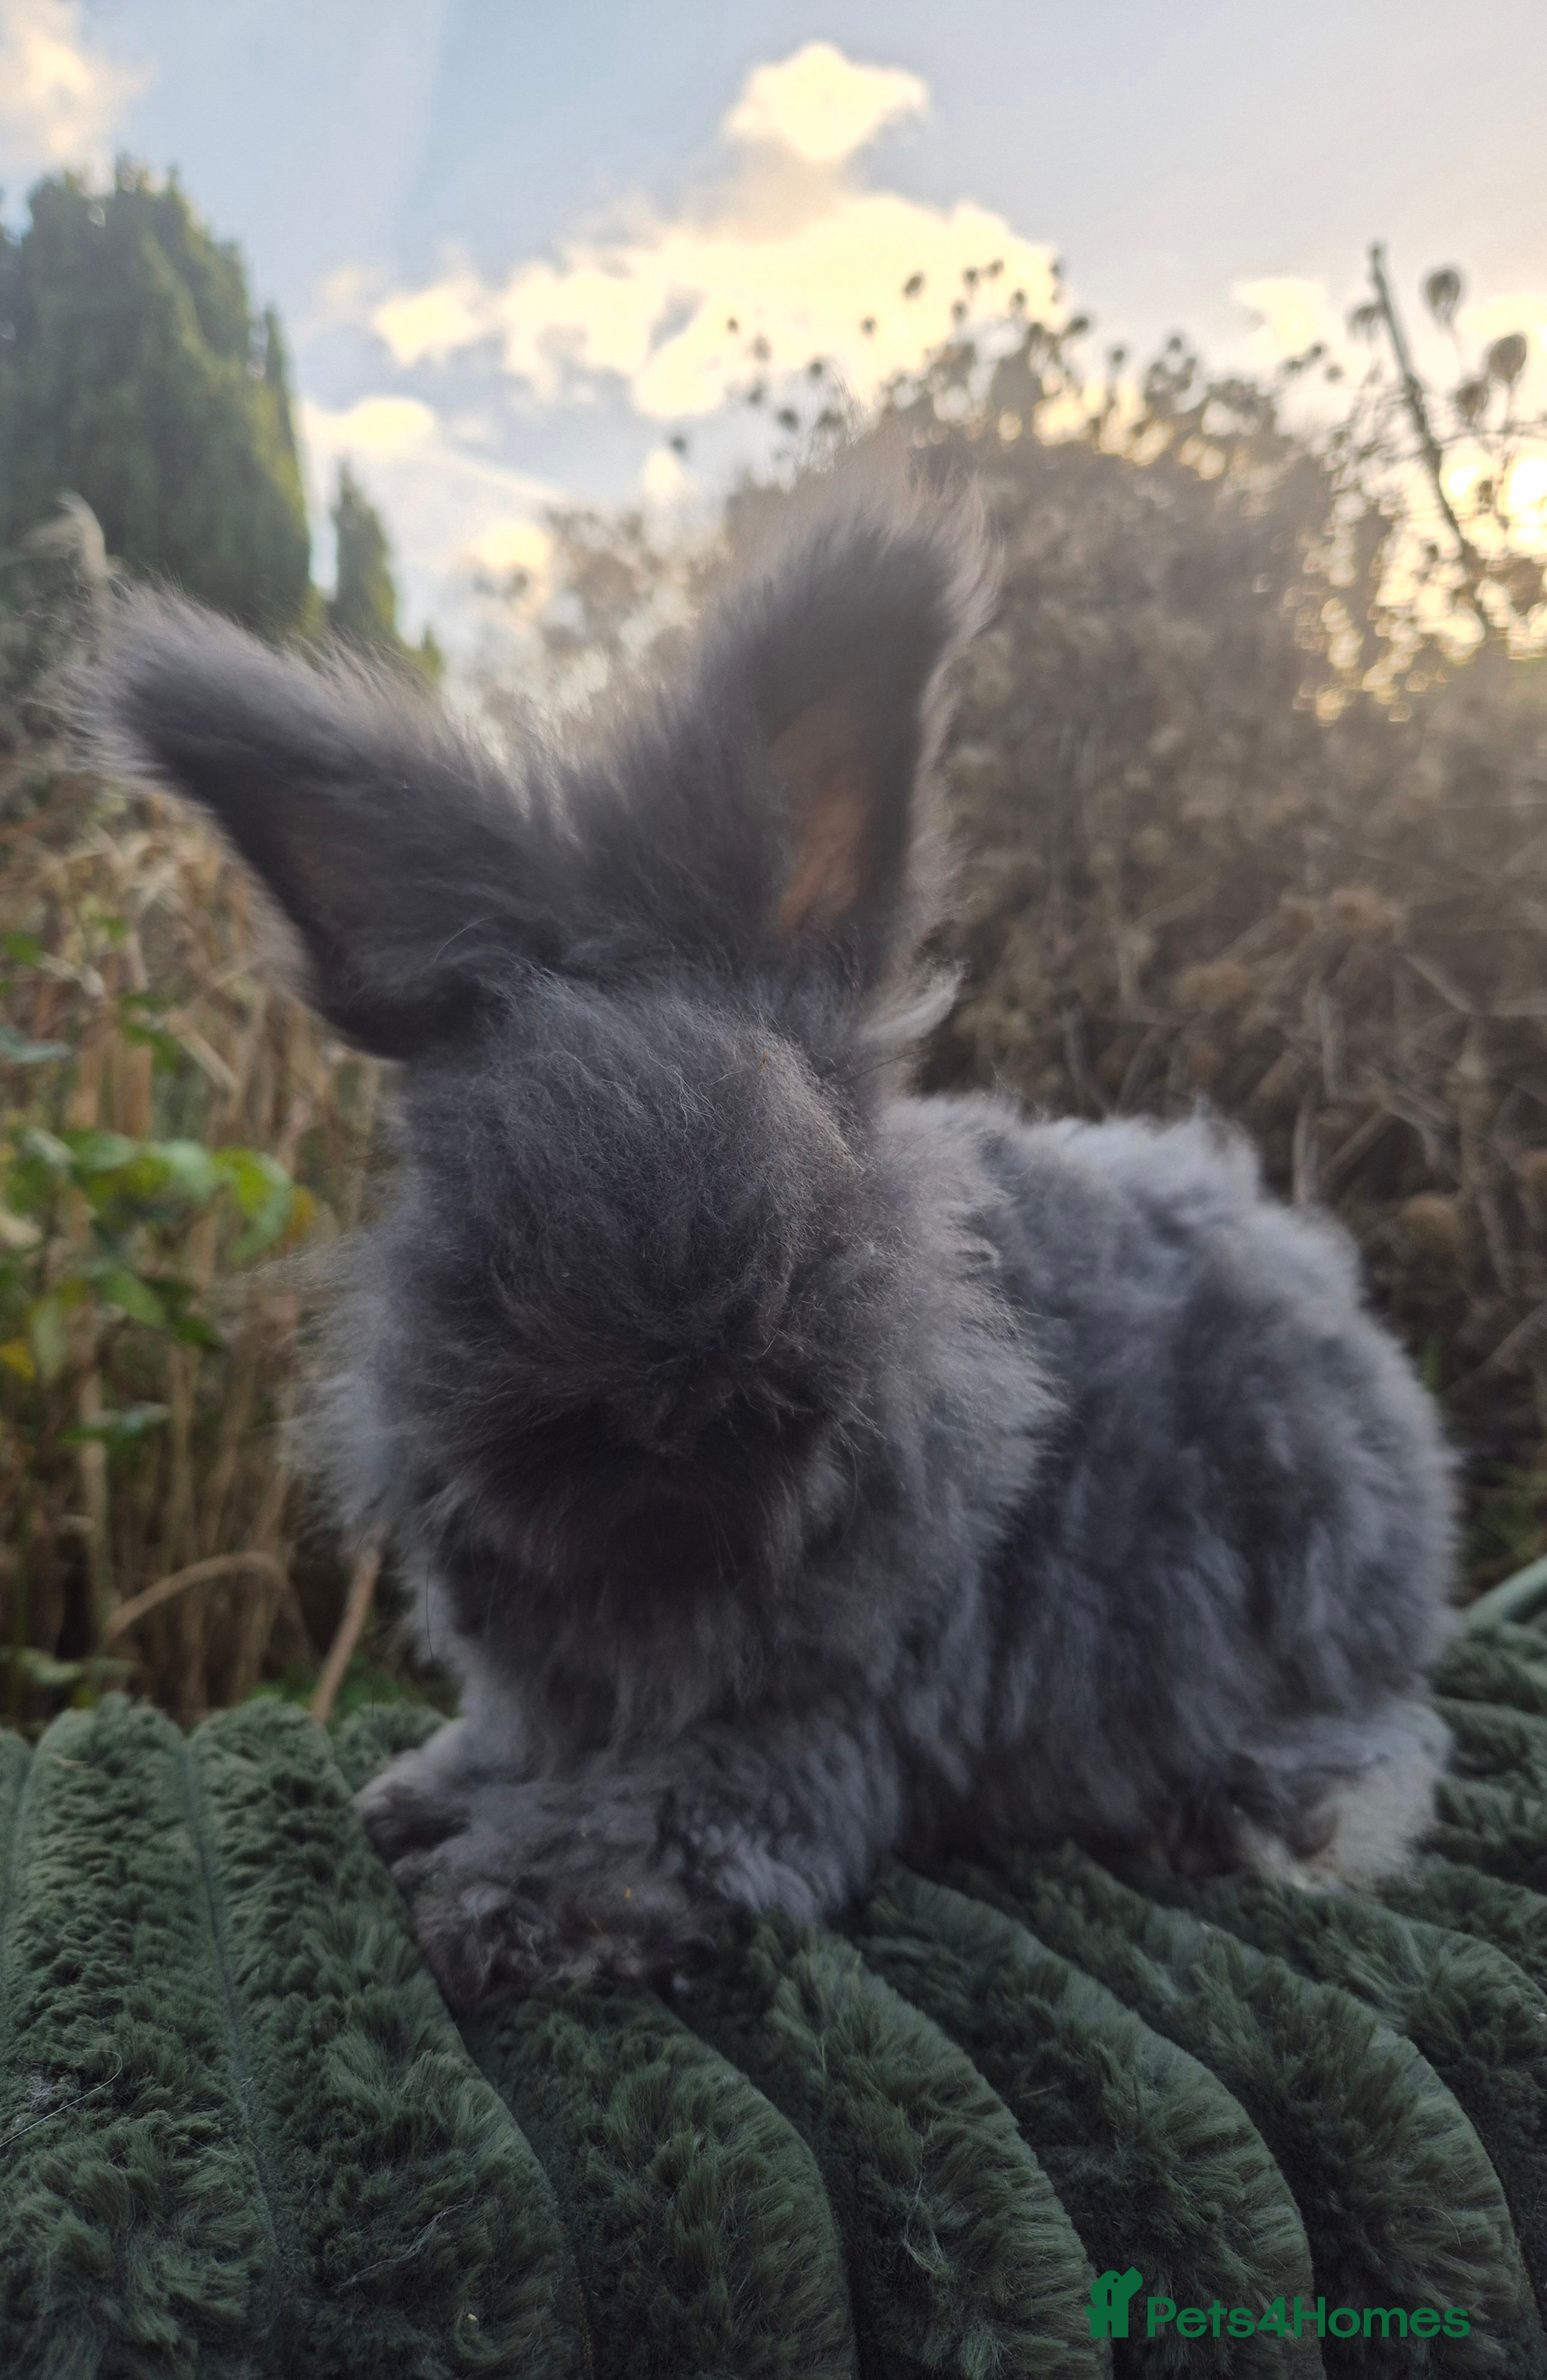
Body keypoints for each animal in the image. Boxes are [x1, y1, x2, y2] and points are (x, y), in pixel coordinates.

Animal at [87, 448, 1456, 2012]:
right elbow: (506, 1743)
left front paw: (494, 1904)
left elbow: (649, 1834)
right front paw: (414, 1795)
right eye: (463, 1141)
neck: (659, 1555)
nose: (664, 1394)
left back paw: (1265, 1815)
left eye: (815, 1111)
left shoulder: (810, 1727)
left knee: (1381, 1740)